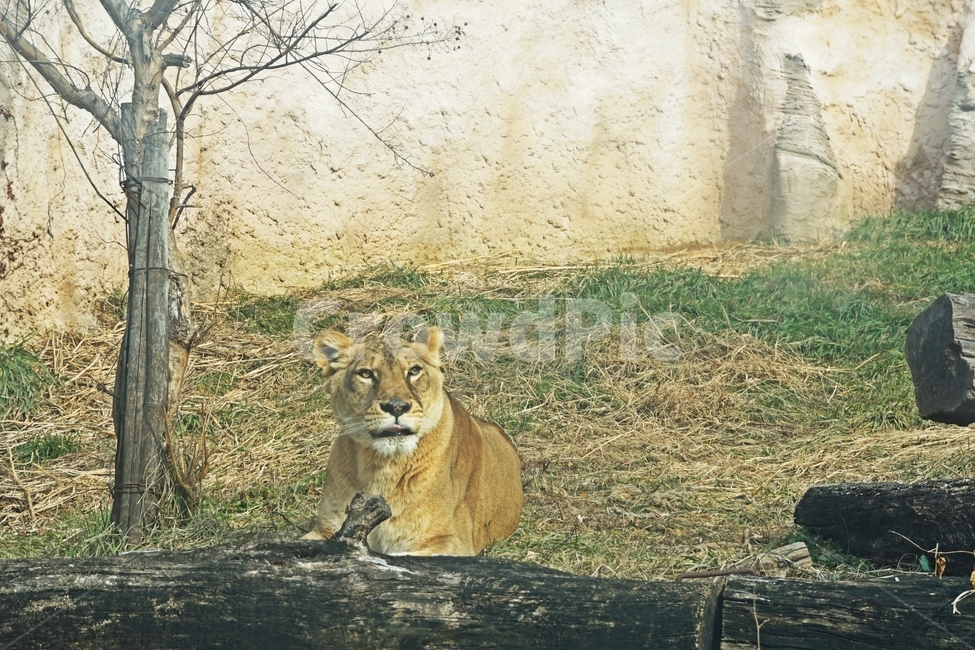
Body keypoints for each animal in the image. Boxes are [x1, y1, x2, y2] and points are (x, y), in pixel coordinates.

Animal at [302, 325, 523, 556]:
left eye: (414, 371)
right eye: (366, 374)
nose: (397, 407)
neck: (382, 466)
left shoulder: (452, 541)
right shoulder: (324, 531)